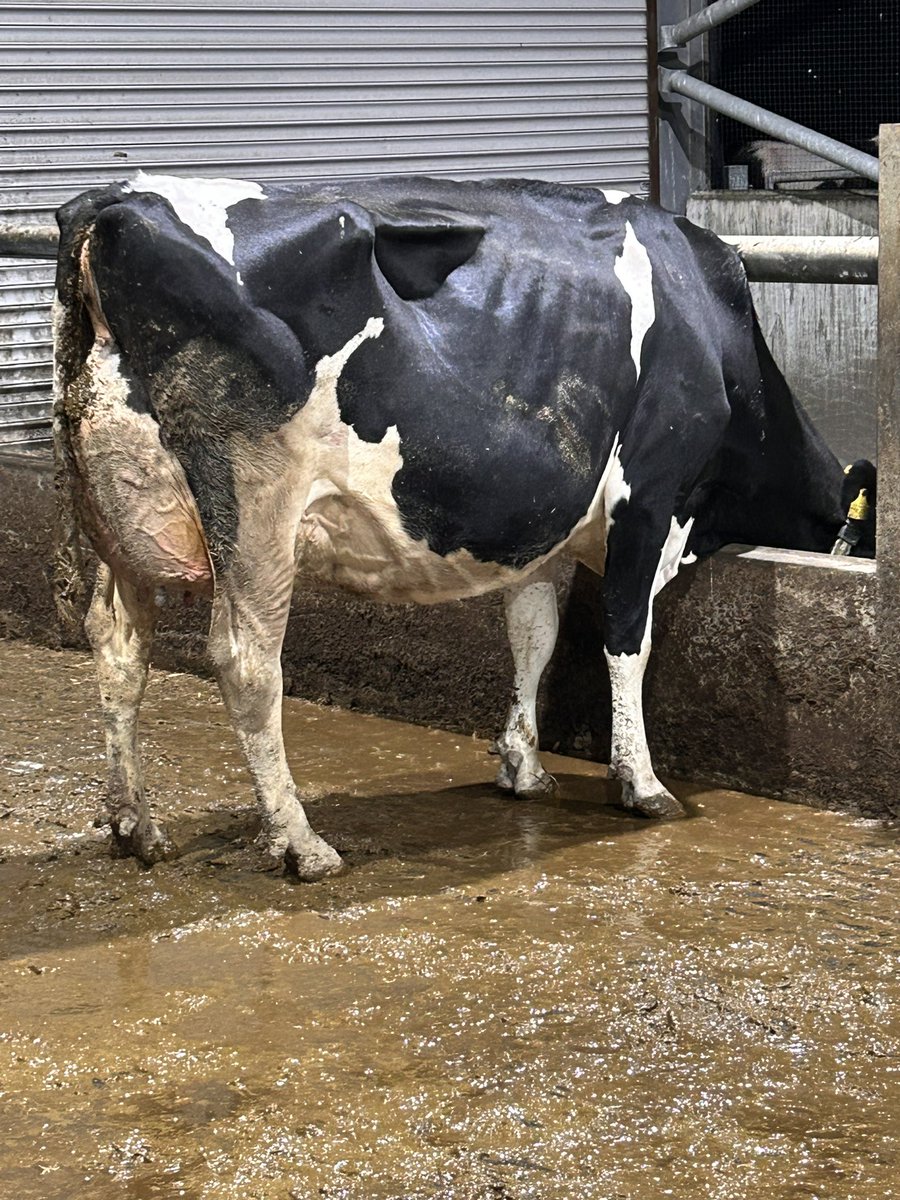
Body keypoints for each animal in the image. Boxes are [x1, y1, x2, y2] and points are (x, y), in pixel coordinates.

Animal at [52, 172, 875, 881]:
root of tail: (112, 204)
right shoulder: (649, 492)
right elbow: (624, 642)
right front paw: (641, 784)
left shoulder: (543, 521)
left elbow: (534, 633)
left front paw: (523, 765)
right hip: (257, 504)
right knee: (245, 660)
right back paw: (299, 841)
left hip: (114, 512)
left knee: (118, 647)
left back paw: (136, 827)